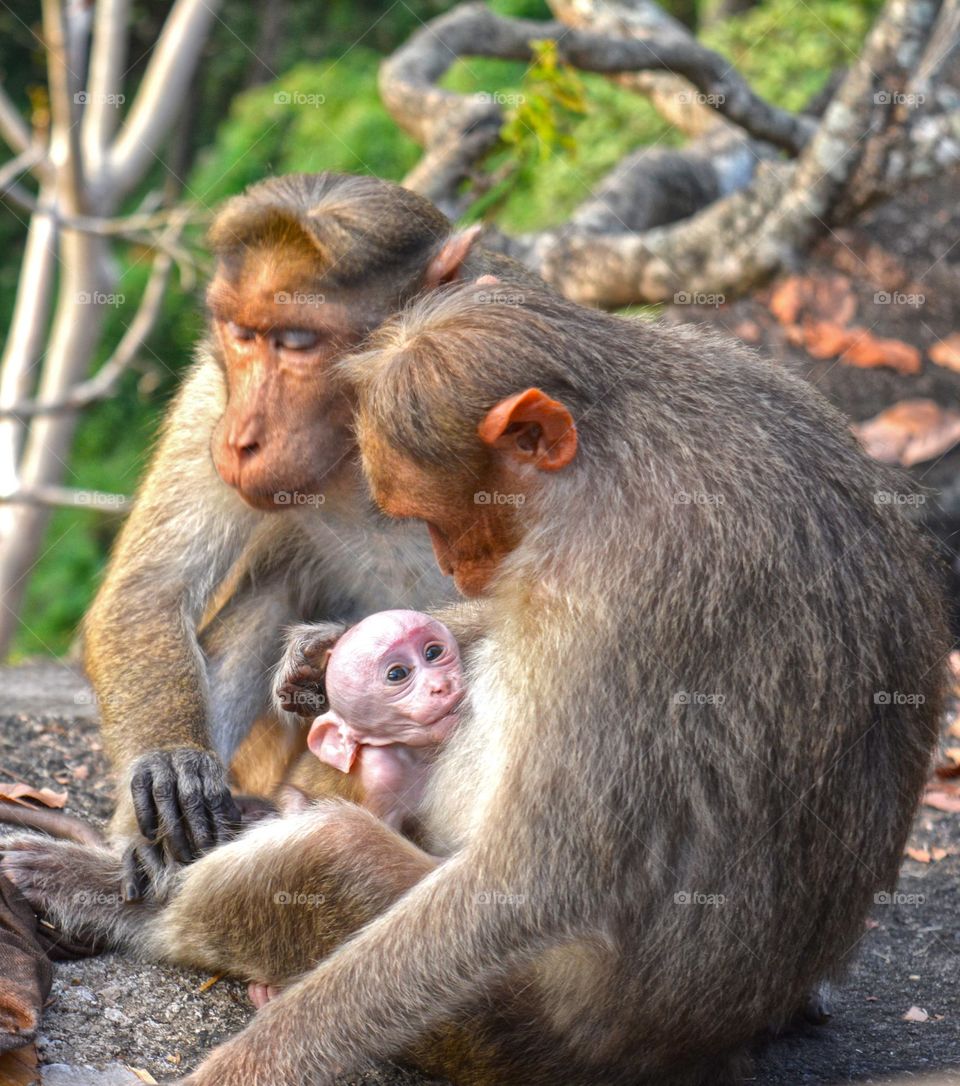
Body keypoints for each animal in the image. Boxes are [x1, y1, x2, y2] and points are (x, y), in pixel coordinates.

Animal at [2, 284, 947, 1085]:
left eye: (436, 512)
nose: (456, 565)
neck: (619, 447)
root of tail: (710, 1048)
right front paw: (320, 657)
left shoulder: (626, 588)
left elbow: (529, 882)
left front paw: (247, 1065)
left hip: (516, 1032)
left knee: (334, 856)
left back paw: (123, 904)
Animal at [80, 172, 543, 896]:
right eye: (243, 334)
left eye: (297, 342)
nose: (242, 440)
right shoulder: (214, 392)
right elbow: (149, 592)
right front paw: (170, 765)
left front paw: (321, 655)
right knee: (270, 590)